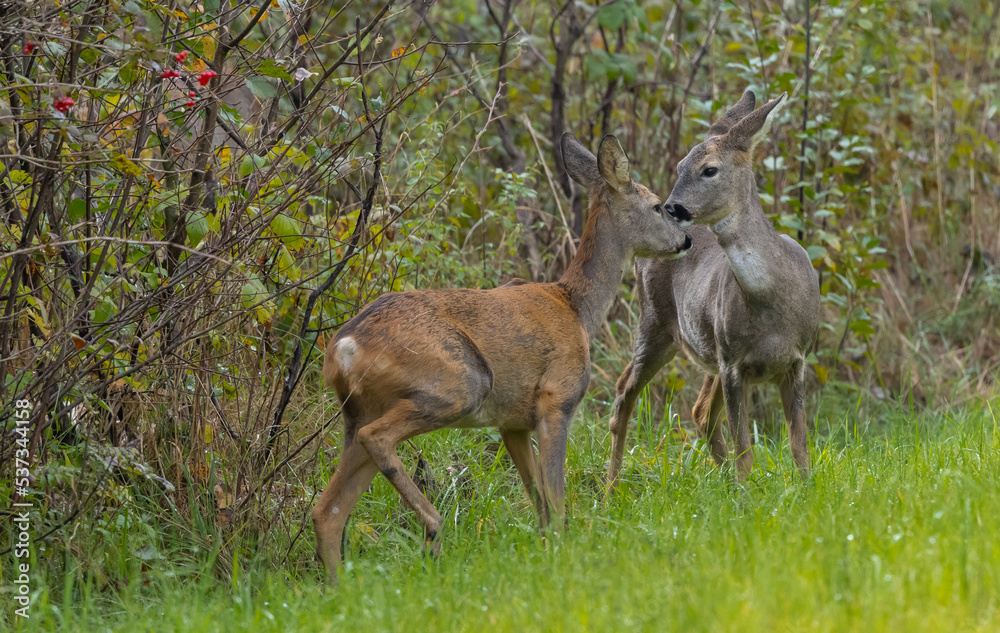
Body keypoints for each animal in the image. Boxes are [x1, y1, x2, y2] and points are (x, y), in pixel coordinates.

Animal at [316, 133, 692, 584]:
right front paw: (565, 553)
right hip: (460, 382)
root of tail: (343, 346)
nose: (686, 240)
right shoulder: (556, 398)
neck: (576, 307)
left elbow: (540, 503)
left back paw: (338, 587)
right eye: (657, 205)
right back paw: (433, 528)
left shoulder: (511, 422)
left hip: (358, 412)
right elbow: (556, 499)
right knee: (378, 441)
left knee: (327, 510)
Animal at [604, 90, 824, 484]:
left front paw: (805, 489)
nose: (671, 209)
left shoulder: (796, 359)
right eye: (679, 166)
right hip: (656, 324)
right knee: (624, 395)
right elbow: (745, 451)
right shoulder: (733, 363)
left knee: (700, 411)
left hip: (705, 349)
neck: (772, 306)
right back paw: (611, 488)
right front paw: (747, 492)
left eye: (709, 169)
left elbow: (800, 447)